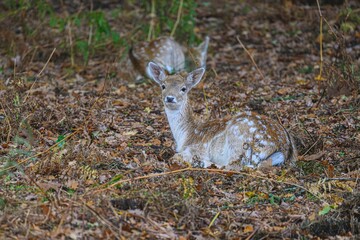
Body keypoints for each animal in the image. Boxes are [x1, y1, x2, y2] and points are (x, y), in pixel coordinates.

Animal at [148, 62, 296, 170]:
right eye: (163, 86)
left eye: (183, 88)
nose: (170, 98)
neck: (186, 135)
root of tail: (283, 149)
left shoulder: (197, 148)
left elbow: (176, 156)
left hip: (238, 137)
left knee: (235, 166)